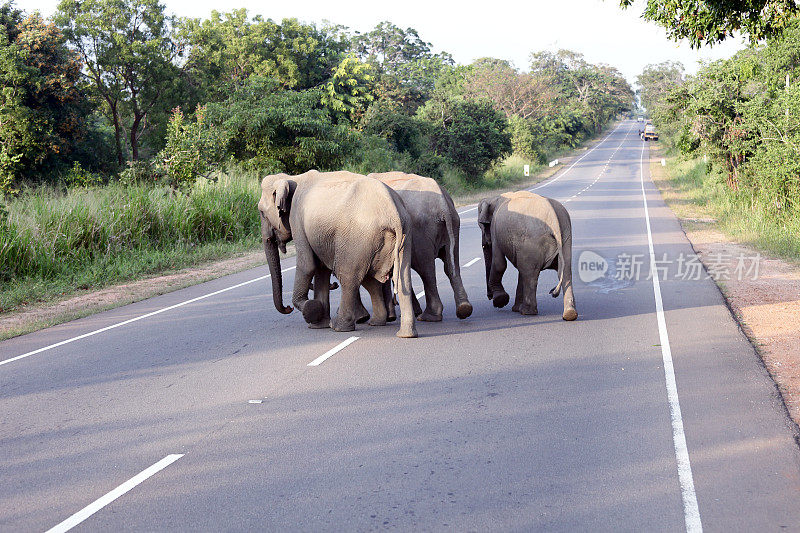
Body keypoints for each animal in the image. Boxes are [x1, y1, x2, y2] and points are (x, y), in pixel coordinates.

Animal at [258, 170, 422, 336]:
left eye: (262, 212)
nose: (288, 308)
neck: (292, 178)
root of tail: (393, 212)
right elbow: (321, 269)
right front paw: (318, 325)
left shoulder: (297, 219)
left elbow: (308, 265)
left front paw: (313, 310)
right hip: (403, 233)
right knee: (398, 279)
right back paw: (401, 332)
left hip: (358, 238)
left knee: (348, 277)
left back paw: (339, 326)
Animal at [368, 172, 476, 320]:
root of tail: (443, 204)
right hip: (453, 225)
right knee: (451, 264)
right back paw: (463, 309)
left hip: (421, 229)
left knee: (426, 269)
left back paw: (428, 316)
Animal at [478, 193, 580, 322]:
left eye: (482, 225)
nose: (490, 297)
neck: (494, 198)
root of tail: (554, 219)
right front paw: (512, 307)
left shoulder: (495, 229)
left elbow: (499, 263)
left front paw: (500, 301)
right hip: (565, 236)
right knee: (565, 271)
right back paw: (569, 314)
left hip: (532, 241)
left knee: (530, 274)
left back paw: (526, 312)